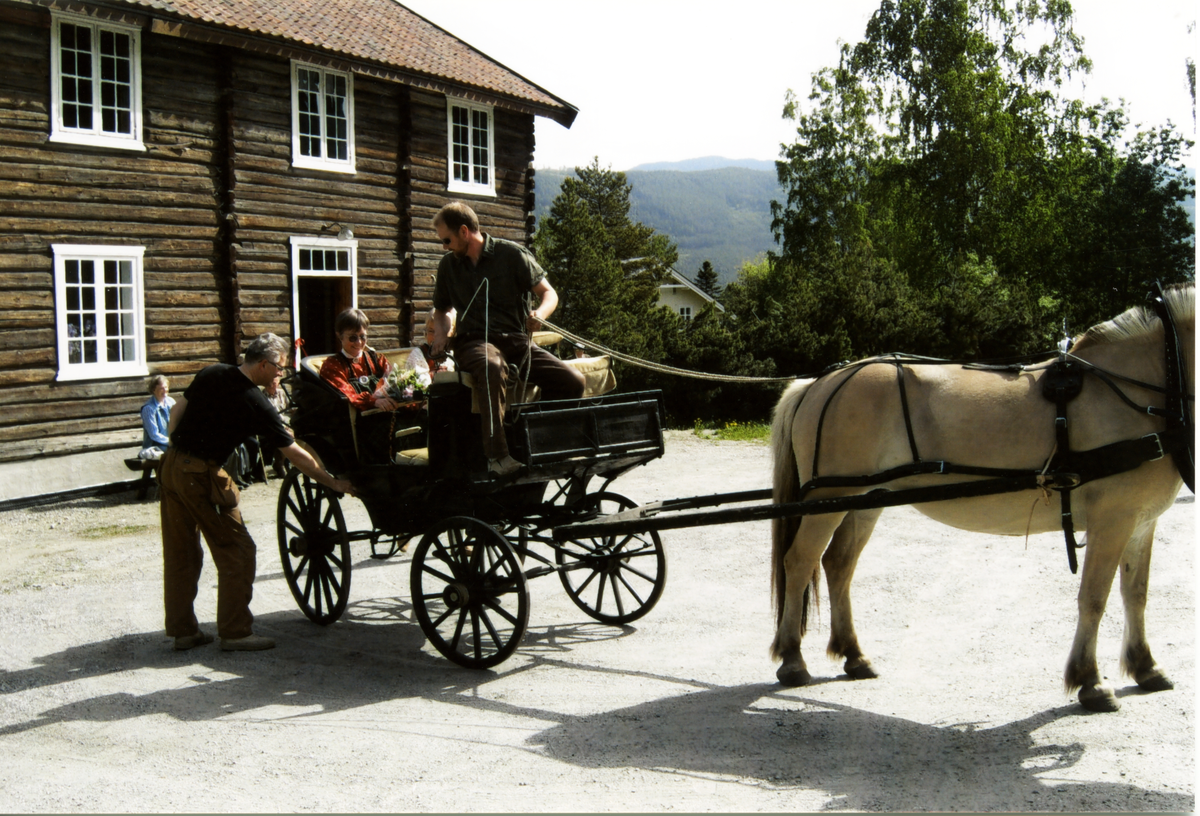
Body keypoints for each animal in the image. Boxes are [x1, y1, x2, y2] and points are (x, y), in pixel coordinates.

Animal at [768, 283, 1190, 710]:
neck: (1144, 387)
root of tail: (816, 383)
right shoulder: (1112, 520)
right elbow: (1094, 597)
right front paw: (1090, 680)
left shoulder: (1141, 521)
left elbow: (1135, 593)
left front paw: (1145, 666)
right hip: (826, 500)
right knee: (800, 562)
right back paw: (792, 659)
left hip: (863, 499)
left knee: (838, 564)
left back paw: (853, 655)